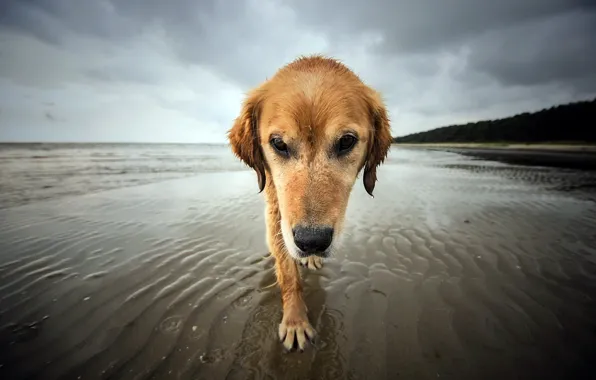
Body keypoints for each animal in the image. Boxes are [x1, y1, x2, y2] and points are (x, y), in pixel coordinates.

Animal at [227, 55, 392, 352]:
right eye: (278, 143)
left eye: (346, 141)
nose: (312, 241)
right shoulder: (277, 211)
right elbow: (288, 273)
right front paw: (295, 321)